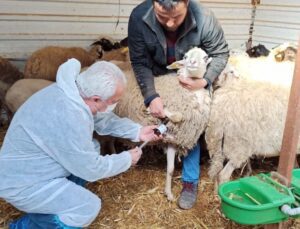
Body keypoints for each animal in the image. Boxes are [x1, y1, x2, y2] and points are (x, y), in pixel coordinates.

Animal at [205, 52, 296, 188]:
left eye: (230, 71)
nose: (215, 81)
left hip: (218, 145)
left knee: (217, 173)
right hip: (238, 145)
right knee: (223, 175)